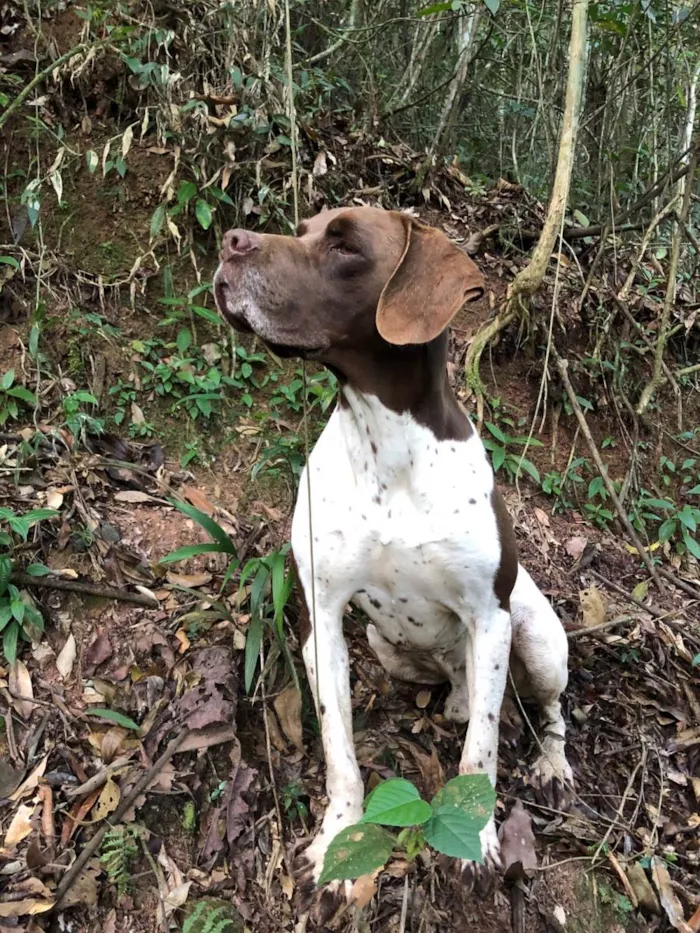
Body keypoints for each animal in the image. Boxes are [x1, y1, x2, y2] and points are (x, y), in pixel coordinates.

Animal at [215, 208, 576, 912]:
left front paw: (478, 842)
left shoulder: (489, 619)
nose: (231, 240)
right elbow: (341, 753)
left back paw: (552, 762)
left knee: (546, 710)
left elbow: (481, 753)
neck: (386, 440)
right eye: (304, 226)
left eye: (345, 245)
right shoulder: (323, 621)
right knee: (461, 693)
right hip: (387, 646)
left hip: (538, 637)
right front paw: (340, 839)